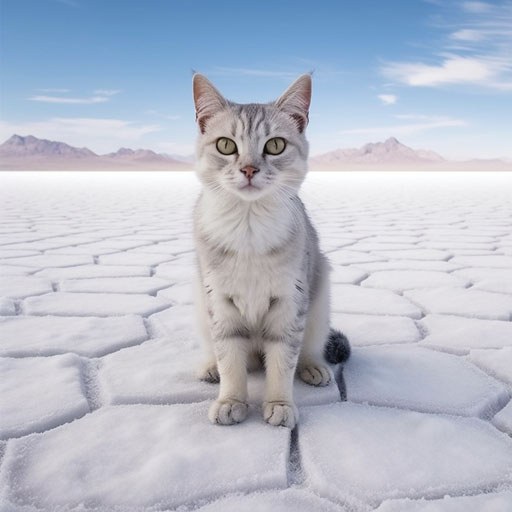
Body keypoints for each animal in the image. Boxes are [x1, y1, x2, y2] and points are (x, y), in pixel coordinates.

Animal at [191, 72, 348, 428]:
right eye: (225, 145)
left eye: (275, 145)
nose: (249, 169)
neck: (249, 228)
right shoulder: (219, 303)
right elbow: (230, 360)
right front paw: (231, 401)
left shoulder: (290, 303)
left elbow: (282, 362)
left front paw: (279, 404)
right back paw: (209, 367)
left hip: (320, 301)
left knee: (309, 348)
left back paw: (314, 367)